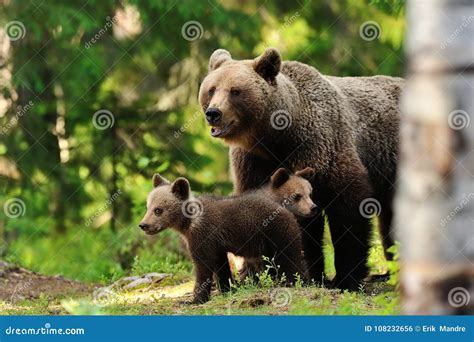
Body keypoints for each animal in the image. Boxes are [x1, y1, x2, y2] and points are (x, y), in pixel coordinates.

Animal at [198, 48, 402, 288]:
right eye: (211, 89)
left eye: (235, 91)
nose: (213, 113)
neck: (273, 139)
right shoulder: (252, 163)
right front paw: (259, 273)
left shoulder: (320, 147)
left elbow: (347, 209)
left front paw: (344, 277)